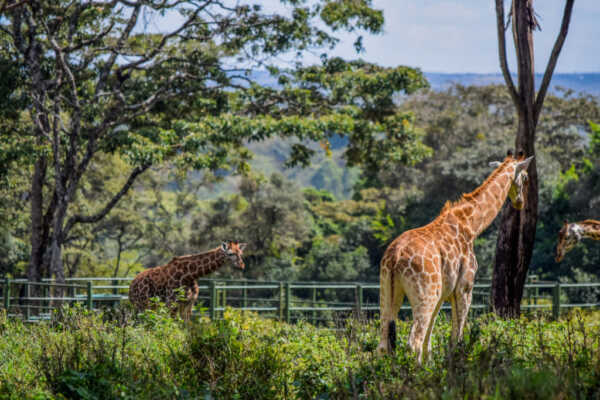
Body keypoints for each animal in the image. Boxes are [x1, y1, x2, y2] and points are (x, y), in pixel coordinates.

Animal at [377, 151, 534, 363]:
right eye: (525, 177)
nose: (520, 202)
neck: (472, 224)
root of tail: (395, 256)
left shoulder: (442, 293)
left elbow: (430, 341)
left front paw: (432, 366)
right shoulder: (464, 287)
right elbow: (456, 338)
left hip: (390, 292)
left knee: (385, 344)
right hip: (424, 294)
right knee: (413, 343)